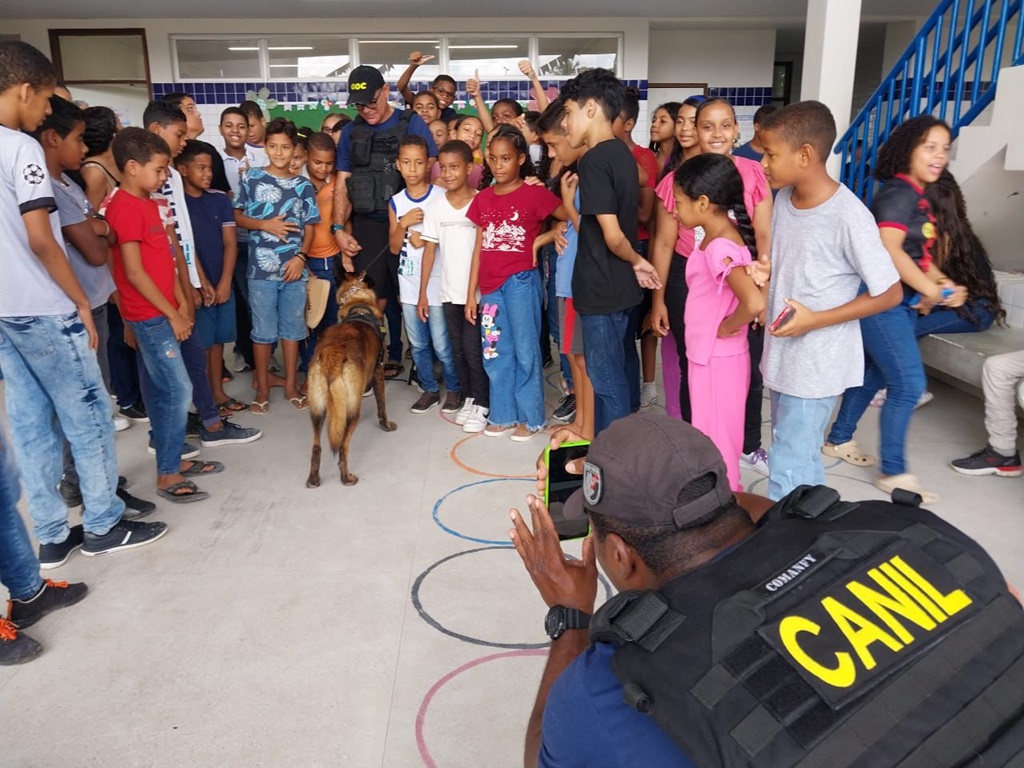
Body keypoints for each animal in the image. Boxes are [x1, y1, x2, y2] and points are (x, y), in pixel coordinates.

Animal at [303, 270, 395, 487]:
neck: (358, 302)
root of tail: (333, 355)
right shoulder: (378, 375)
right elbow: (382, 407)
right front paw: (386, 426)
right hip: (352, 410)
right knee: (343, 447)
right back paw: (346, 478)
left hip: (317, 411)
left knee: (317, 447)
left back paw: (313, 479)